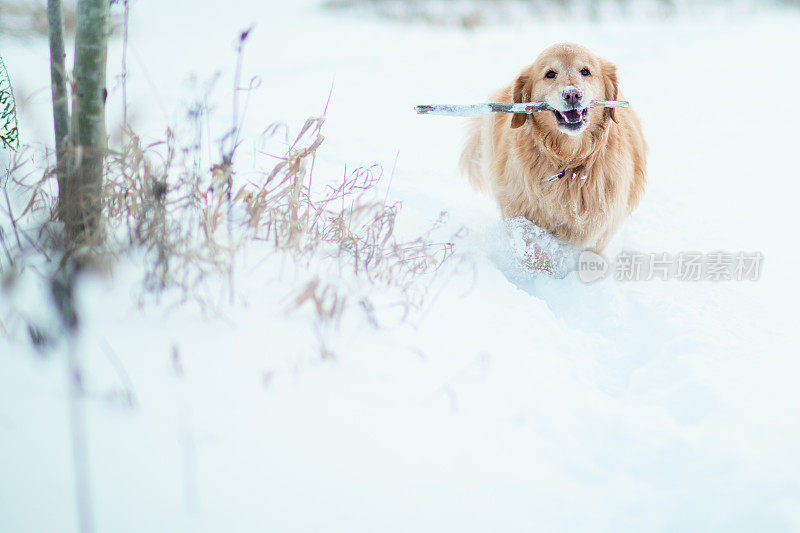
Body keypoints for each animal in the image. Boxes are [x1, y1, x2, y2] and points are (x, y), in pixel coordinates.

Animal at [460, 41, 648, 254]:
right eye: (550, 74)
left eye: (585, 71)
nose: (572, 94)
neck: (569, 159)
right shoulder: (518, 205)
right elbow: (529, 235)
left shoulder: (601, 223)